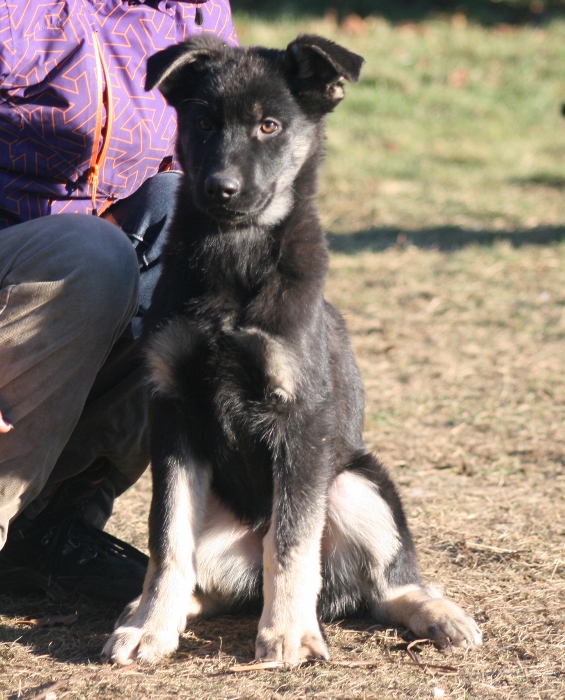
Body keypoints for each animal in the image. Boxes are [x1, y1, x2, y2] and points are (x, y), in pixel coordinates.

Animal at [102, 34, 480, 668]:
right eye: (203, 122)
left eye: (269, 125)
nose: (220, 189)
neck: (234, 254)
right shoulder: (175, 412)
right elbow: (167, 539)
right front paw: (150, 626)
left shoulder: (301, 420)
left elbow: (292, 540)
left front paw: (289, 634)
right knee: (213, 578)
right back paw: (155, 610)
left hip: (354, 484)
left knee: (385, 585)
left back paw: (437, 614)